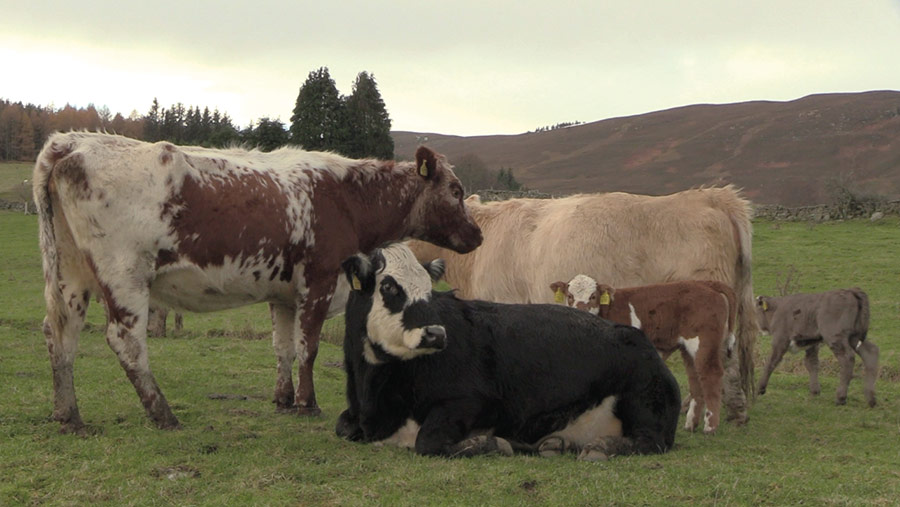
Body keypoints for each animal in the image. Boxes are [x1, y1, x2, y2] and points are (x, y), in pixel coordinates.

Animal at [33, 132, 486, 432]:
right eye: (456, 190)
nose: (478, 235)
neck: (347, 198)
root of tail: (73, 141)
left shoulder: (283, 294)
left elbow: (283, 347)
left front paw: (283, 399)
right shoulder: (319, 280)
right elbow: (308, 347)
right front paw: (307, 403)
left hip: (69, 274)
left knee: (60, 334)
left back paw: (67, 414)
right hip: (124, 274)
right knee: (125, 341)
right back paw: (162, 413)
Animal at [334, 244, 680, 462]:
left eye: (430, 290)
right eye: (389, 287)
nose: (436, 333)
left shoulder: (470, 400)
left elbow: (427, 442)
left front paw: (492, 443)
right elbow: (342, 425)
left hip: (643, 398)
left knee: (651, 440)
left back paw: (601, 447)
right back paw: (557, 443)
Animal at [548, 276, 740, 434]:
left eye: (593, 296)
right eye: (570, 296)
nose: (581, 310)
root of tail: (704, 283)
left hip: (704, 342)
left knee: (711, 375)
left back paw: (710, 426)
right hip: (688, 348)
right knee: (696, 378)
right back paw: (691, 424)